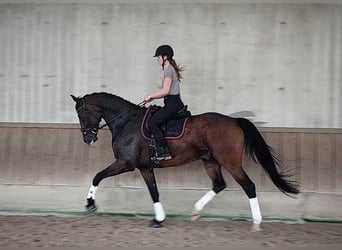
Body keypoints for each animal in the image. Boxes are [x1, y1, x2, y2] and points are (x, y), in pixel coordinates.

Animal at [71, 92, 300, 230]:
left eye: (82, 112)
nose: (87, 138)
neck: (126, 122)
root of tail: (234, 121)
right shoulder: (145, 167)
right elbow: (154, 192)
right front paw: (158, 219)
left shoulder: (126, 163)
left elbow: (97, 176)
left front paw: (90, 204)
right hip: (210, 161)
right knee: (219, 184)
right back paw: (196, 210)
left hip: (230, 162)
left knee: (248, 186)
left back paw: (256, 222)